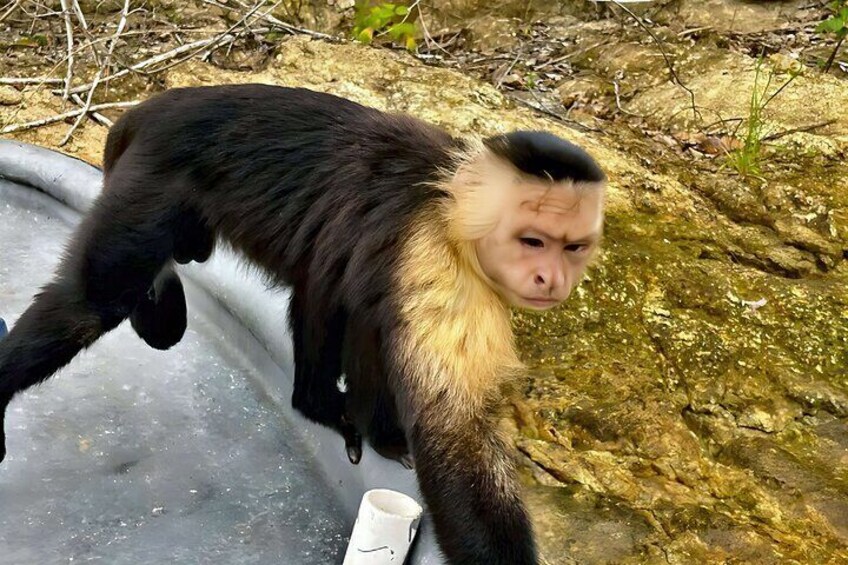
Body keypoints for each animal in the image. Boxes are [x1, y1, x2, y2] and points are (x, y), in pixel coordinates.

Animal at [3, 85, 608, 564]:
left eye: (572, 247)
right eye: (533, 241)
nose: (550, 278)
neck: (454, 207)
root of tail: (150, 109)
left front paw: (381, 427)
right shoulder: (440, 265)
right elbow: (453, 430)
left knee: (335, 289)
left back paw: (331, 406)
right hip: (151, 185)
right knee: (91, 303)